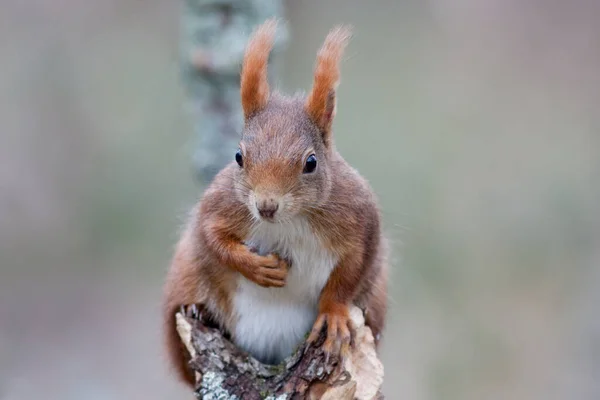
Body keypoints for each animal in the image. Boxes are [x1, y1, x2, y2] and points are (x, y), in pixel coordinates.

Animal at [162, 18, 392, 388]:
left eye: (311, 163)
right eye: (238, 156)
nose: (266, 207)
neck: (290, 221)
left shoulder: (359, 221)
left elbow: (351, 273)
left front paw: (334, 314)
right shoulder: (224, 205)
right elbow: (211, 236)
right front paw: (255, 267)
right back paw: (201, 311)